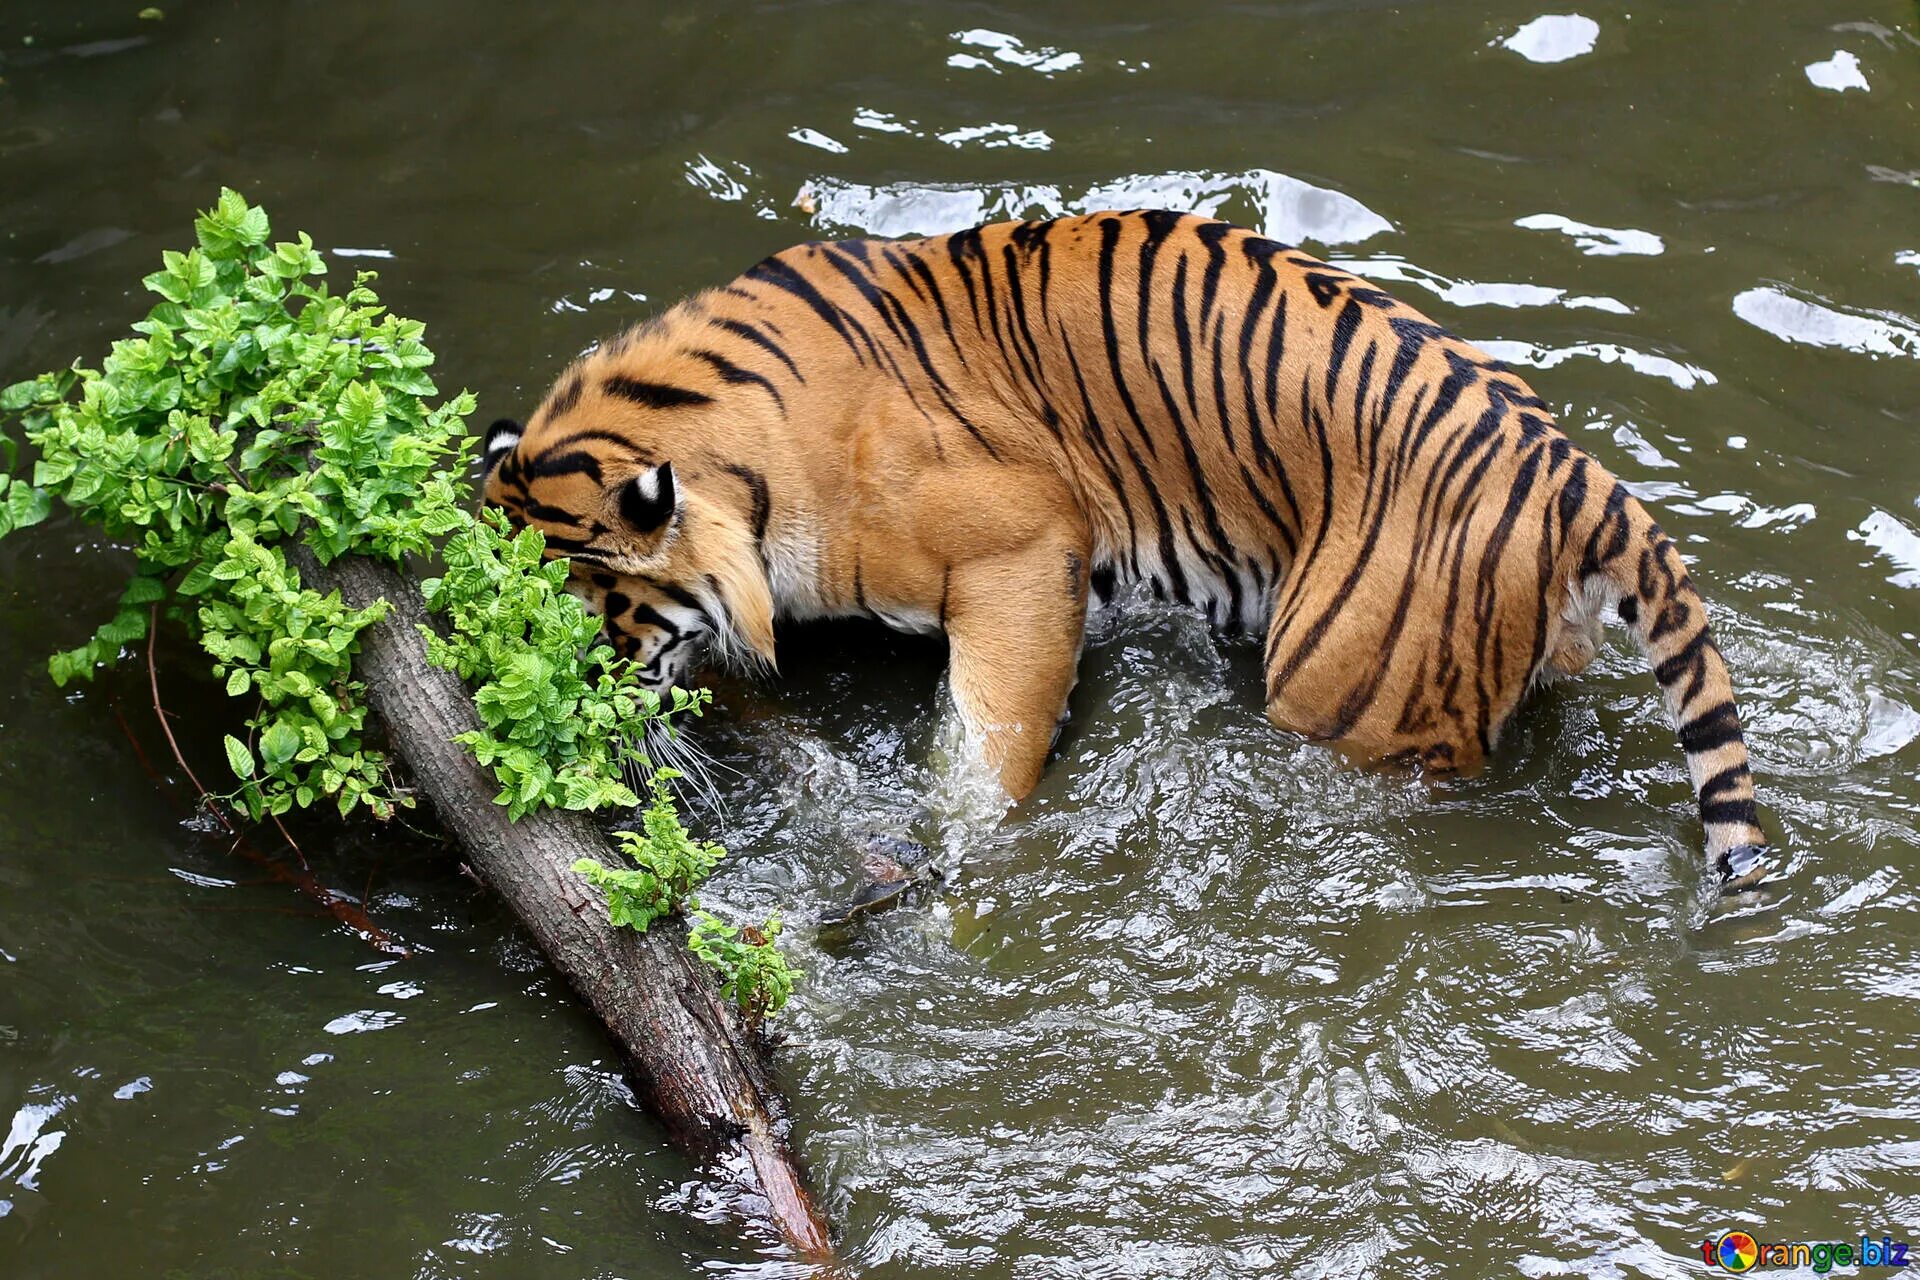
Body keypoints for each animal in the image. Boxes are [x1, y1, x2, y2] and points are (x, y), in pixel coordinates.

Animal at [487, 210, 1774, 890]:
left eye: (586, 633)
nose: (591, 747)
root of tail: (1572, 470)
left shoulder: (1024, 550)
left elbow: (992, 743)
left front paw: (961, 853)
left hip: (1344, 692)